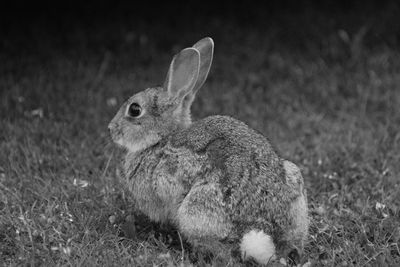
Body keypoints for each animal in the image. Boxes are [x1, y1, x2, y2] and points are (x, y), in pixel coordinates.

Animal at [108, 37, 310, 266]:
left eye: (134, 109)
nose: (111, 128)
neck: (161, 139)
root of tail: (265, 232)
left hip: (195, 211)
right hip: (294, 179)